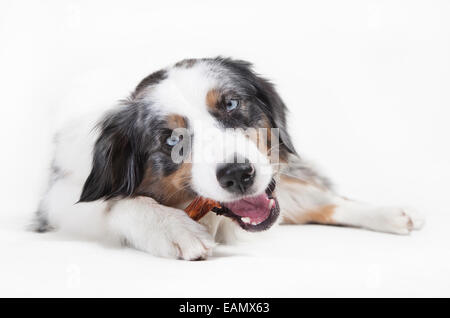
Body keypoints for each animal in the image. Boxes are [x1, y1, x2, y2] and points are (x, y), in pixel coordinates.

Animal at [33, 57, 424, 260]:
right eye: (172, 139)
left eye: (232, 104)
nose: (238, 174)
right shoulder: (56, 200)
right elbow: (115, 204)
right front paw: (171, 228)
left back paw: (392, 213)